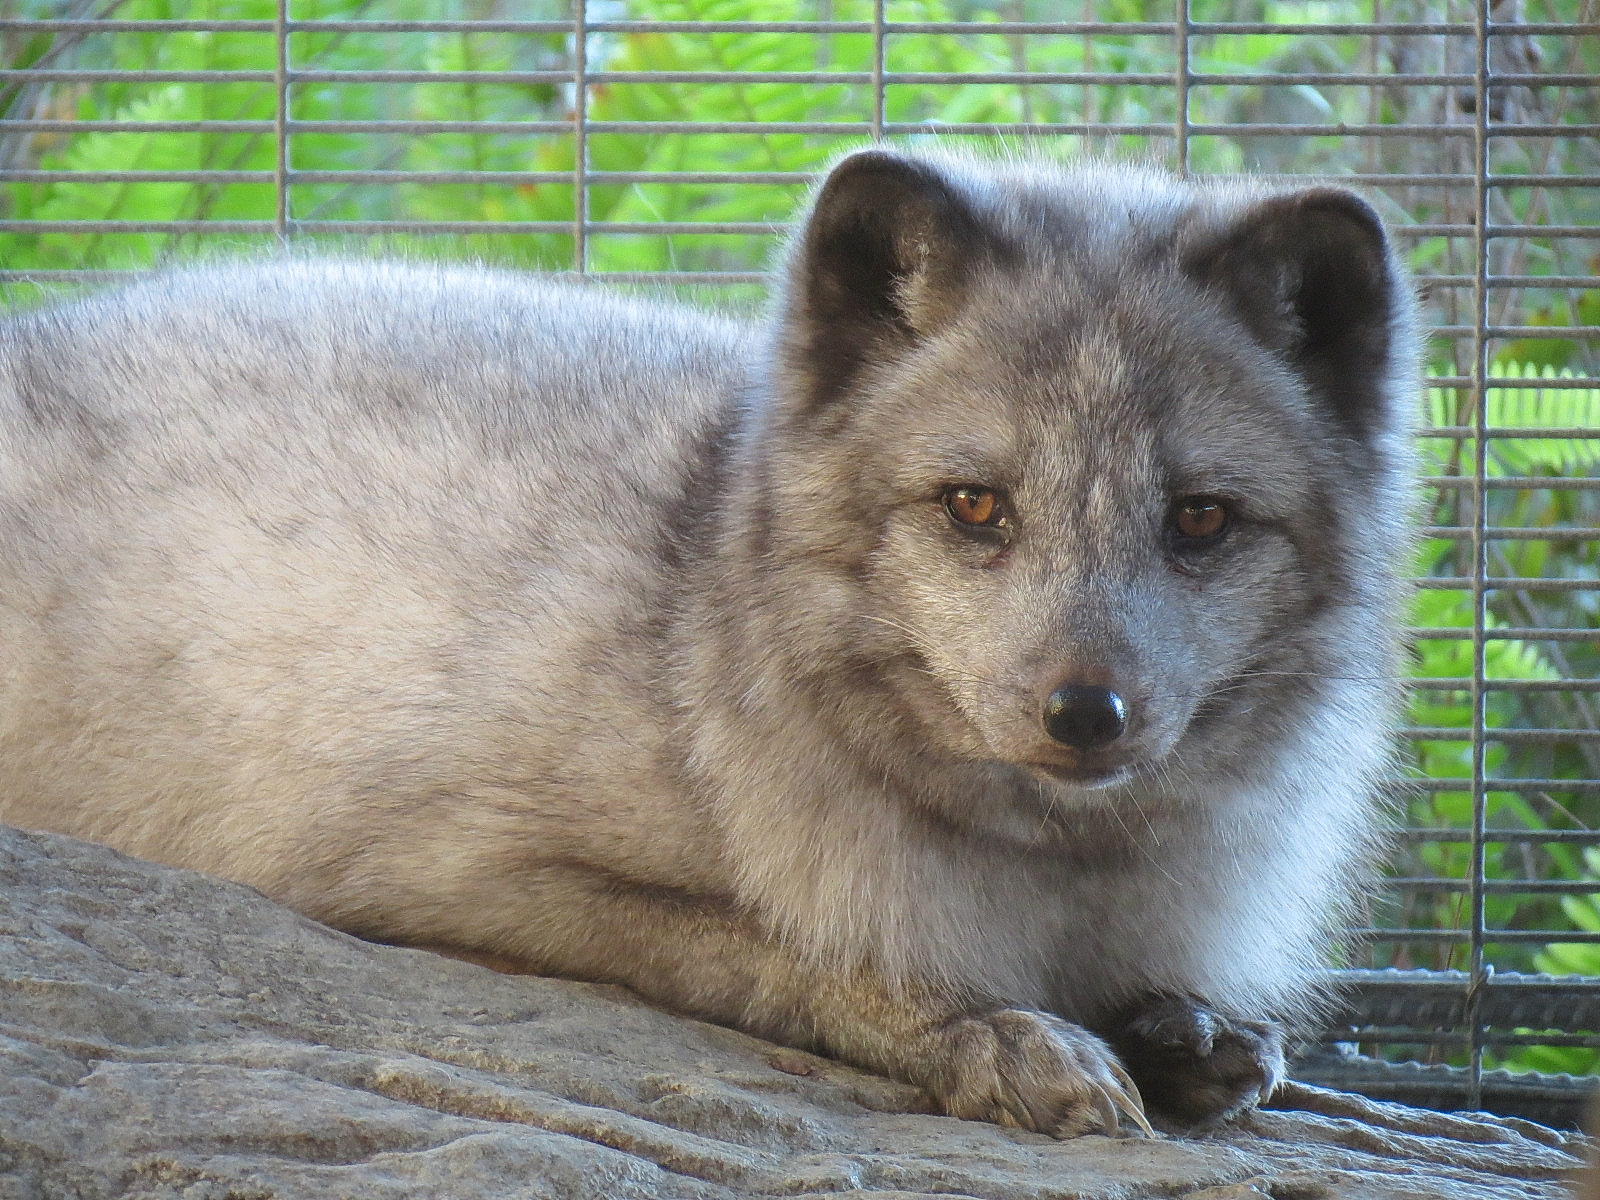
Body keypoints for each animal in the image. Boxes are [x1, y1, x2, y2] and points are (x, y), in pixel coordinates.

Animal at [0, 148, 1417, 1137]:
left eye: (1200, 519)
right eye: (975, 507)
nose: (1086, 714)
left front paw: (1190, 1032)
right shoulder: (454, 881)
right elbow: (786, 955)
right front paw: (997, 1034)